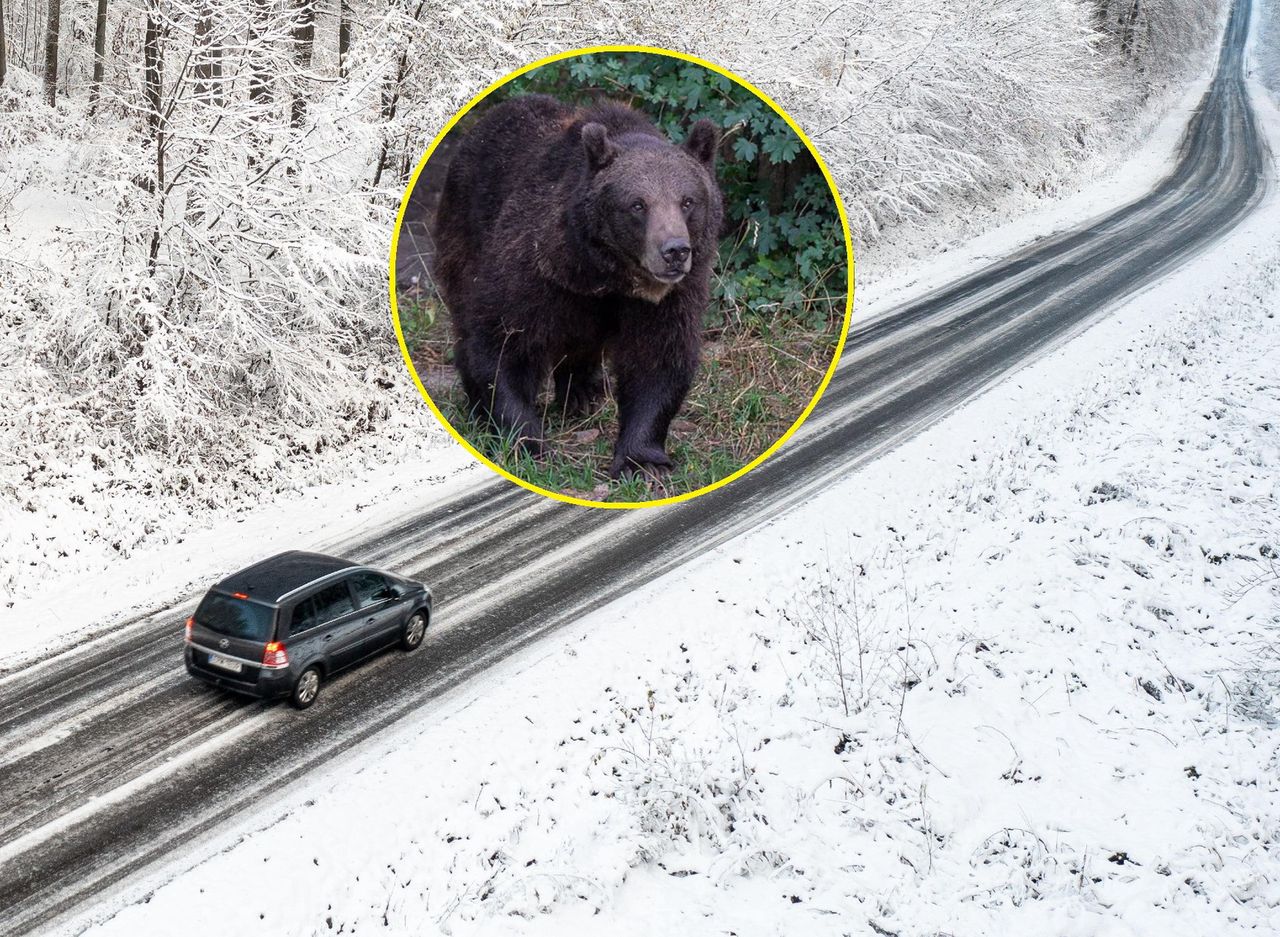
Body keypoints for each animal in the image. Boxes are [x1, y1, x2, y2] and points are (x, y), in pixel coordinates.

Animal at [432, 94, 721, 478]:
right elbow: (502, 342)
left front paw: (642, 460)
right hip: (464, 233)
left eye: (688, 201)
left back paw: (583, 392)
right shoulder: (533, 266)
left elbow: (657, 359)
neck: (603, 274)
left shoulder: (667, 298)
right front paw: (527, 442)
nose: (674, 251)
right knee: (467, 316)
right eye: (638, 204)